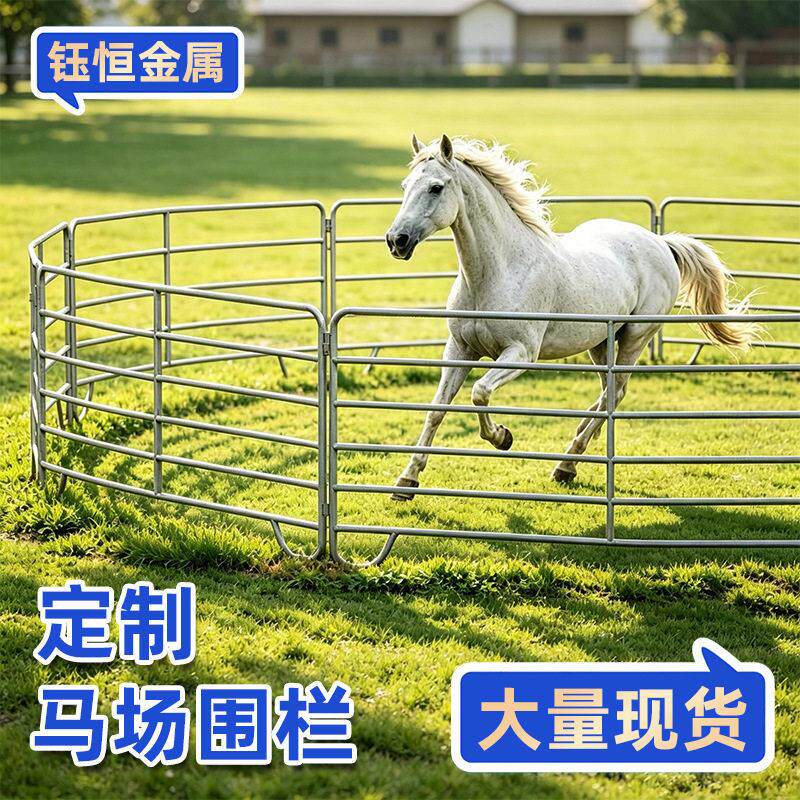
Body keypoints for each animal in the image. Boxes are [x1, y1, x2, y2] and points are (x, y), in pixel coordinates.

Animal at [384, 134, 756, 500]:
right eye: (405, 186)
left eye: (435, 187)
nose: (396, 240)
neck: (497, 271)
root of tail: (661, 242)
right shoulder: (459, 350)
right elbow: (437, 409)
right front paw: (407, 480)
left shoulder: (521, 354)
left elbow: (480, 393)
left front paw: (503, 437)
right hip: (601, 343)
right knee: (608, 394)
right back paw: (572, 456)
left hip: (635, 337)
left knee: (615, 393)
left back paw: (566, 463)